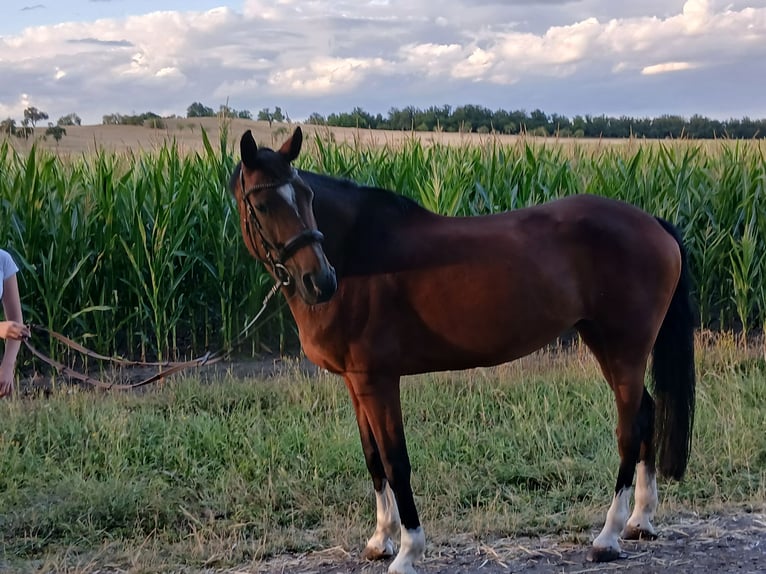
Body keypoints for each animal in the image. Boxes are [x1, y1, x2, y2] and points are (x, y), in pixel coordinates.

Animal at [229, 127, 696, 574]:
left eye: (305, 195)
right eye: (264, 204)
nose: (320, 281)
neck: (357, 254)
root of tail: (654, 223)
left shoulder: (379, 381)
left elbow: (396, 461)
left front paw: (408, 553)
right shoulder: (356, 382)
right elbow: (373, 457)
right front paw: (380, 540)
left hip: (626, 348)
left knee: (629, 428)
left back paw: (608, 536)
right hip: (605, 343)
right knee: (646, 412)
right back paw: (640, 520)